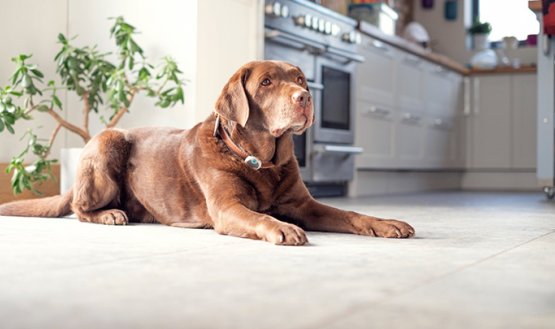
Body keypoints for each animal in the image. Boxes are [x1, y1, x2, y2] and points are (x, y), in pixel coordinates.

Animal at [0, 60, 416, 243]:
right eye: (266, 82)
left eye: (299, 79)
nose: (305, 97)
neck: (262, 161)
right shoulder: (227, 207)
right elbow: (261, 217)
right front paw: (282, 227)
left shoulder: (304, 204)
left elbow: (349, 213)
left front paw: (385, 223)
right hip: (108, 141)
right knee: (78, 208)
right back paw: (110, 215)